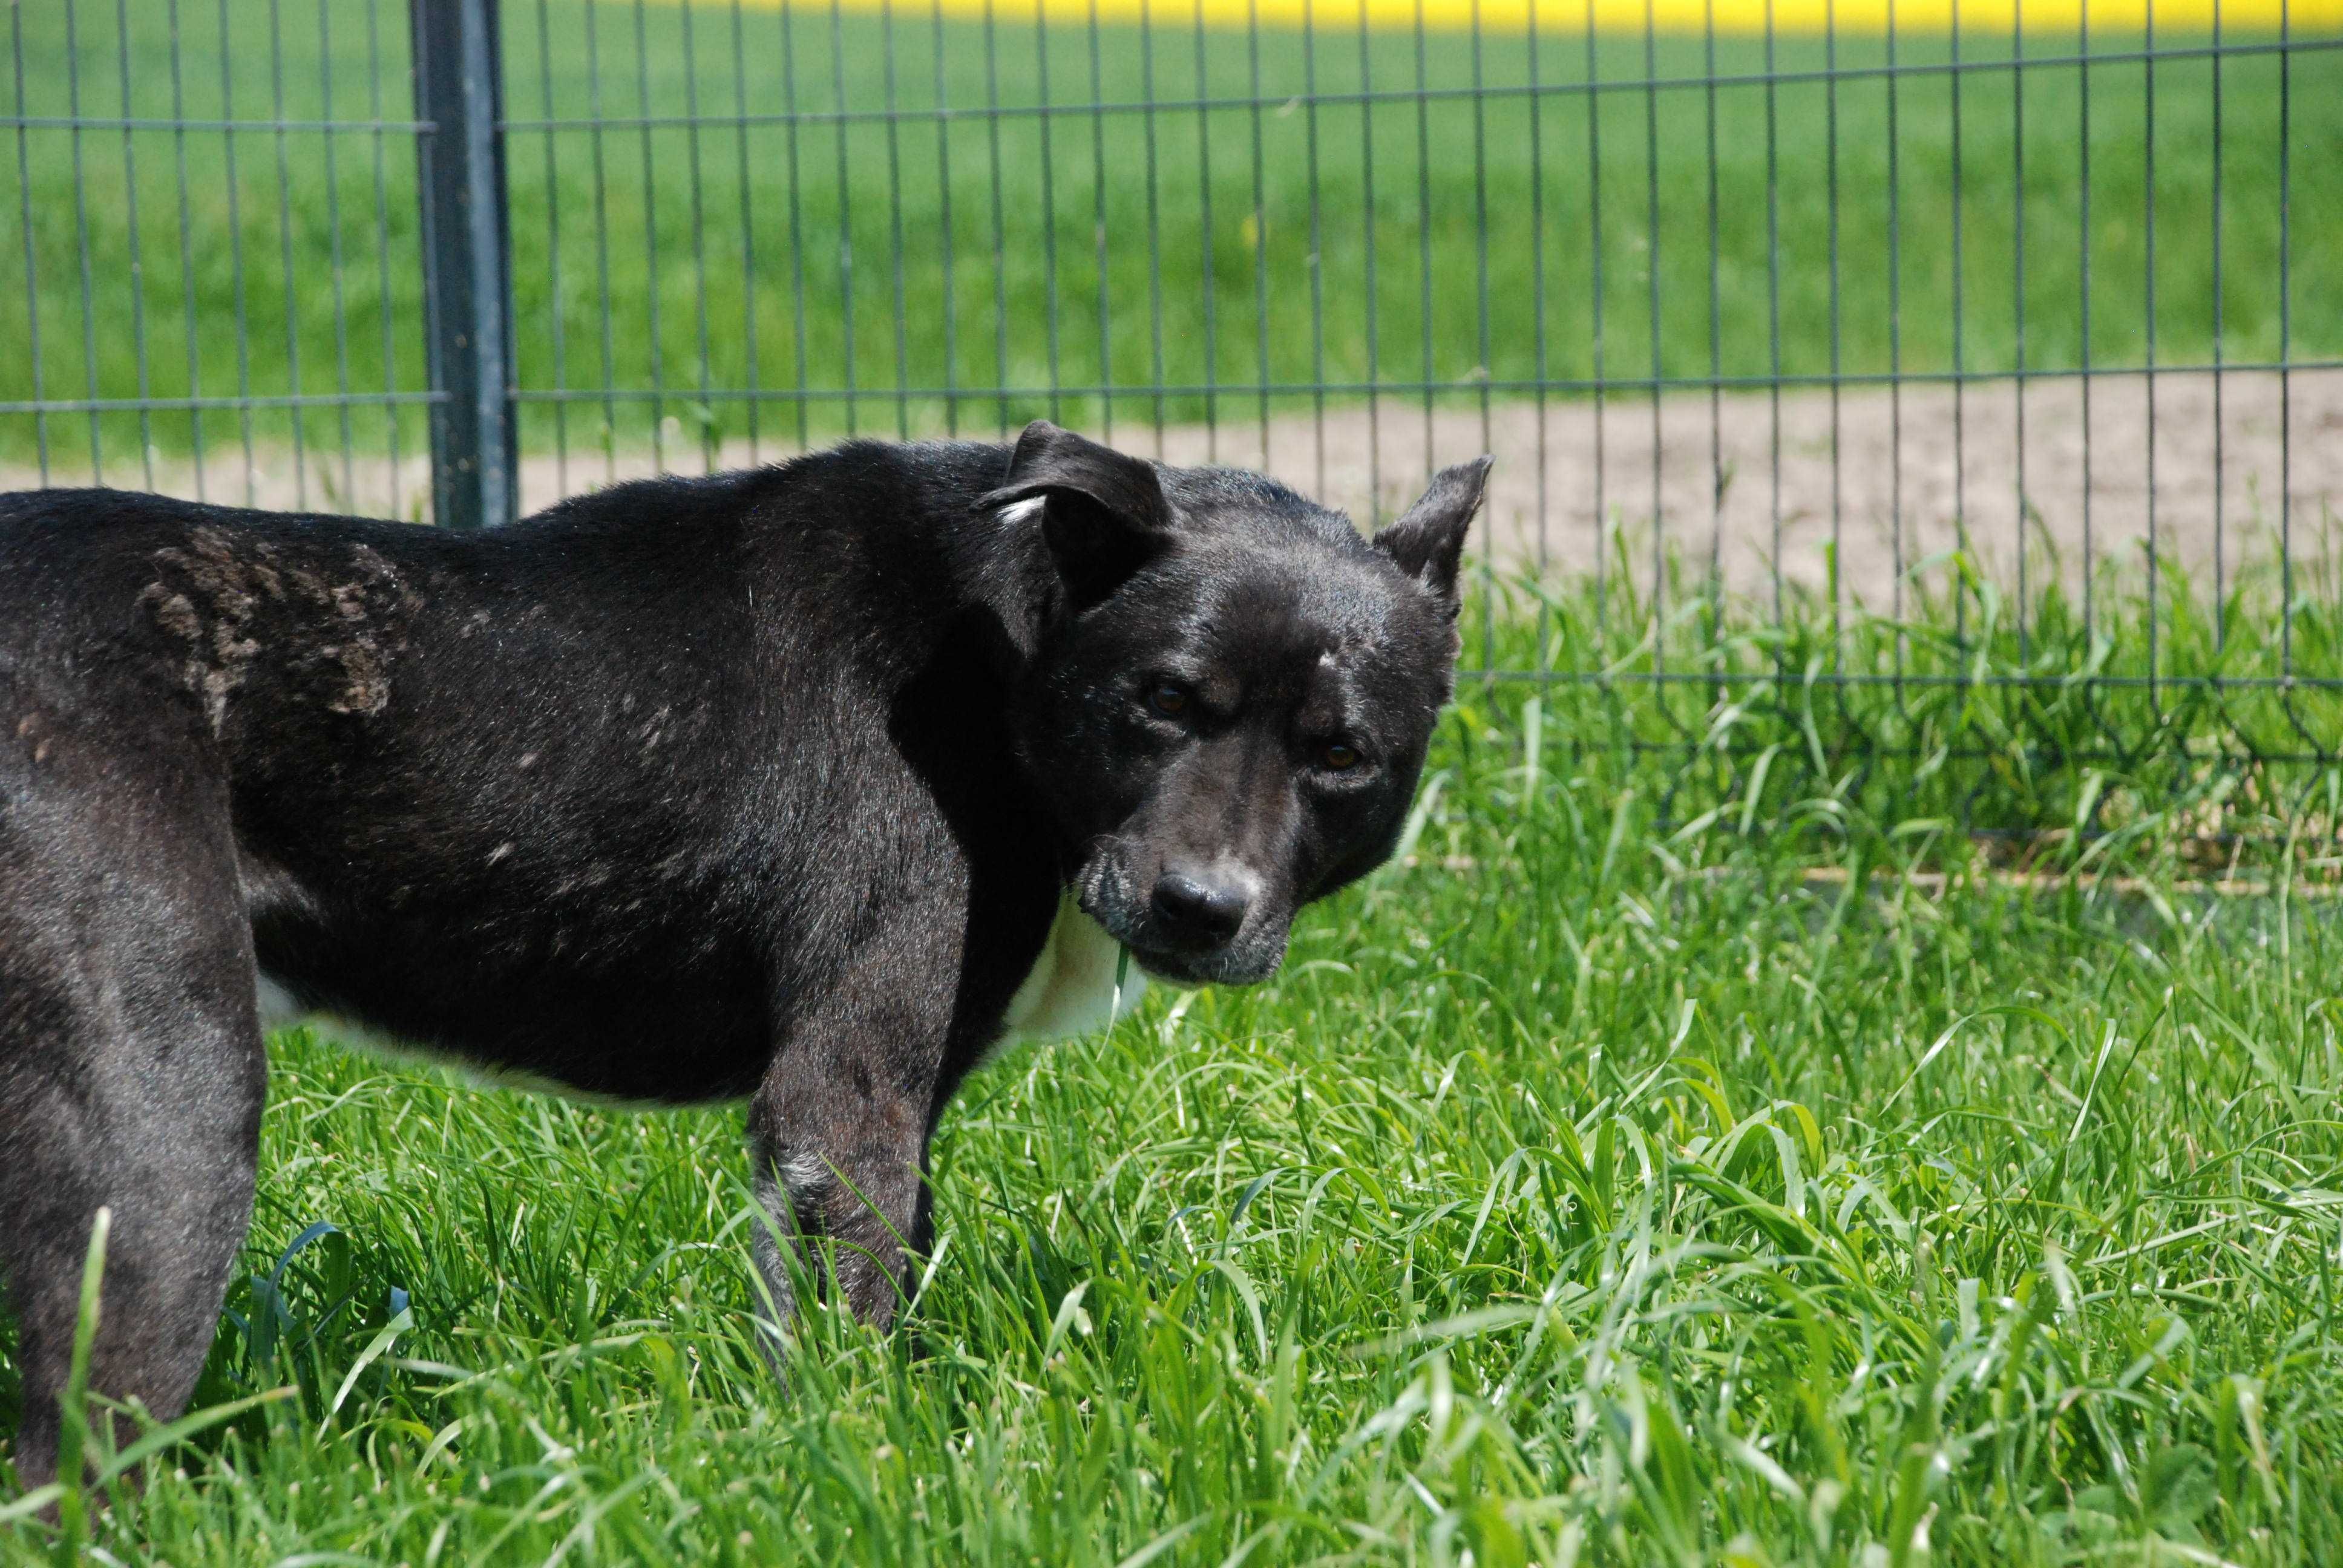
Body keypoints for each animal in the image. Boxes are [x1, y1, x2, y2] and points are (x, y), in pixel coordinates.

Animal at [0, 419, 1481, 1481]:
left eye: (1340, 754)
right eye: (1163, 699)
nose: (1199, 907)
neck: (1006, 651)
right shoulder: (843, 1096)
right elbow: (842, 1351)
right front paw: (858, 1479)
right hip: (169, 1118)